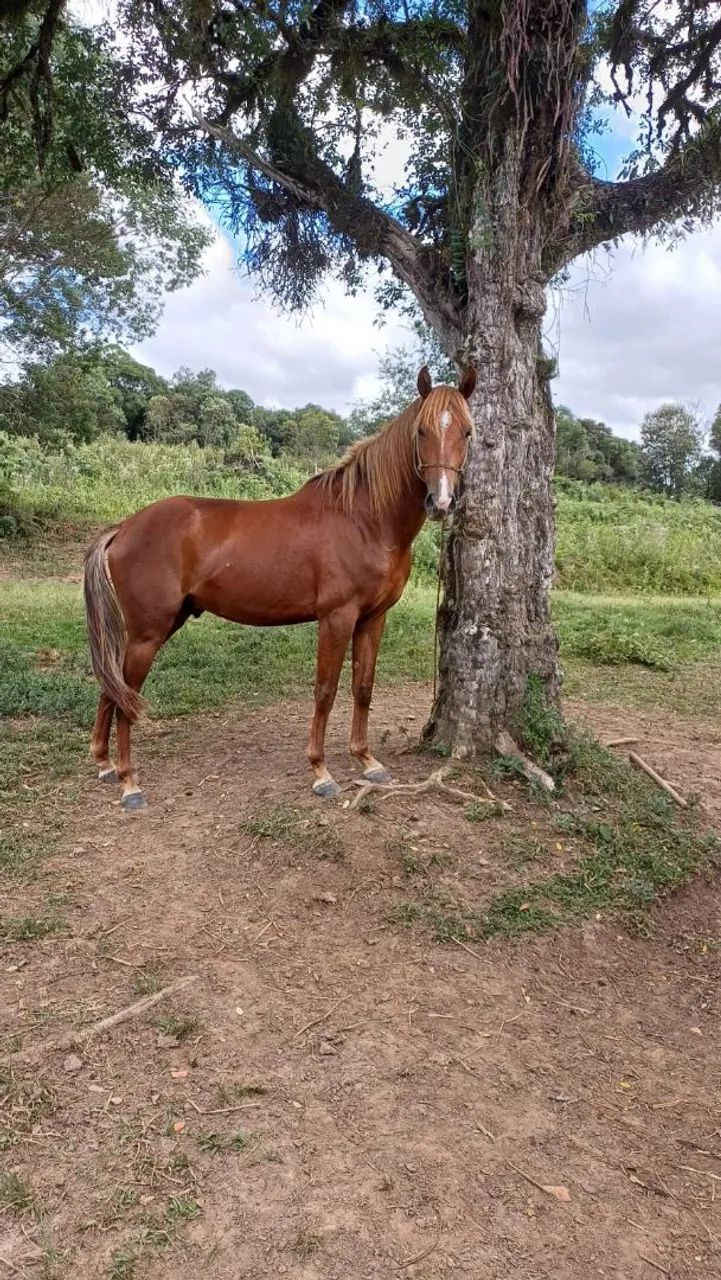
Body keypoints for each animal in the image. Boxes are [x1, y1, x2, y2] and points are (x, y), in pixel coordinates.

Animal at [83, 364, 476, 809]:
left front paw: (367, 760)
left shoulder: (374, 618)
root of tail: (123, 529)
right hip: (148, 633)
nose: (441, 502)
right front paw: (321, 772)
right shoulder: (336, 617)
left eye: (466, 432)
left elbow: (362, 687)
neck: (364, 520)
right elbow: (325, 690)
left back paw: (106, 765)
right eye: (421, 431)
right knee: (126, 696)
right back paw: (130, 782)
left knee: (113, 688)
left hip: (159, 627)